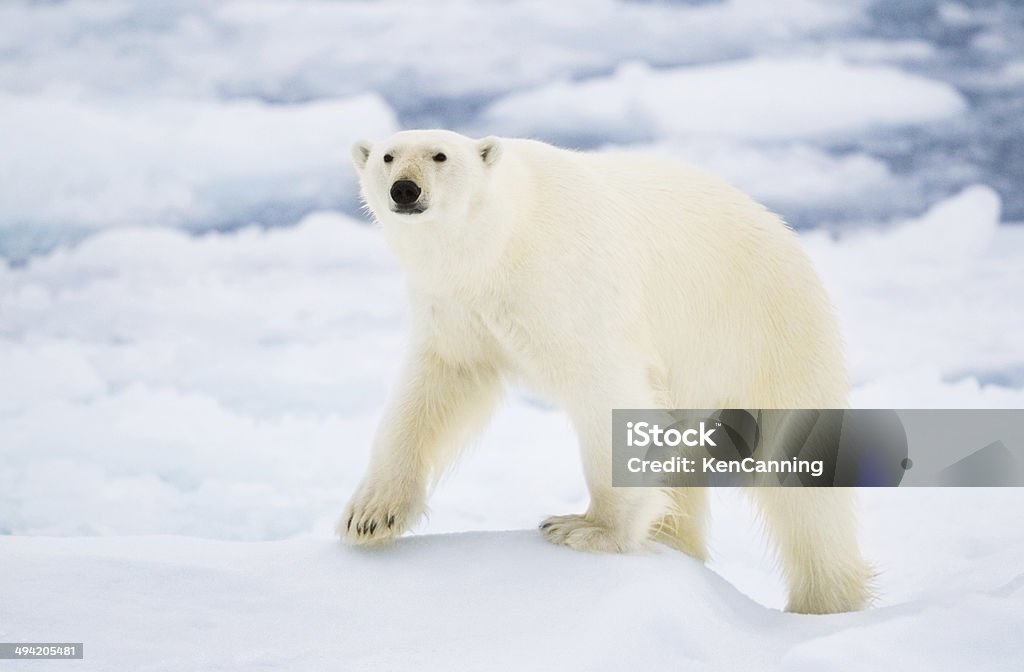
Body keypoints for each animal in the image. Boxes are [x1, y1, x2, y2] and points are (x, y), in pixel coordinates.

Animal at [342, 130, 872, 614]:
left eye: (440, 155)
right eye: (387, 156)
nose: (405, 189)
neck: (500, 242)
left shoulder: (566, 284)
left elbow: (607, 390)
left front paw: (587, 528)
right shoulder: (457, 309)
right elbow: (431, 393)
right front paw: (369, 516)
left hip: (768, 334)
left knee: (799, 479)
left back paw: (823, 602)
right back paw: (674, 542)